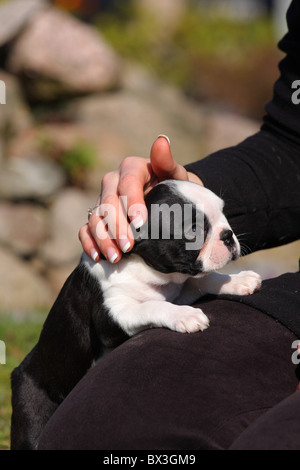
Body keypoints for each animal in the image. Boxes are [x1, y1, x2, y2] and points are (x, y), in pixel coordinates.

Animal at [10, 179, 262, 448]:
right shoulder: (112, 316)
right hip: (32, 407)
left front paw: (237, 281)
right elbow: (153, 305)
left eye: (224, 214)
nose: (228, 235)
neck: (146, 268)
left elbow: (202, 280)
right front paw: (185, 316)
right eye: (193, 230)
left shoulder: (178, 289)